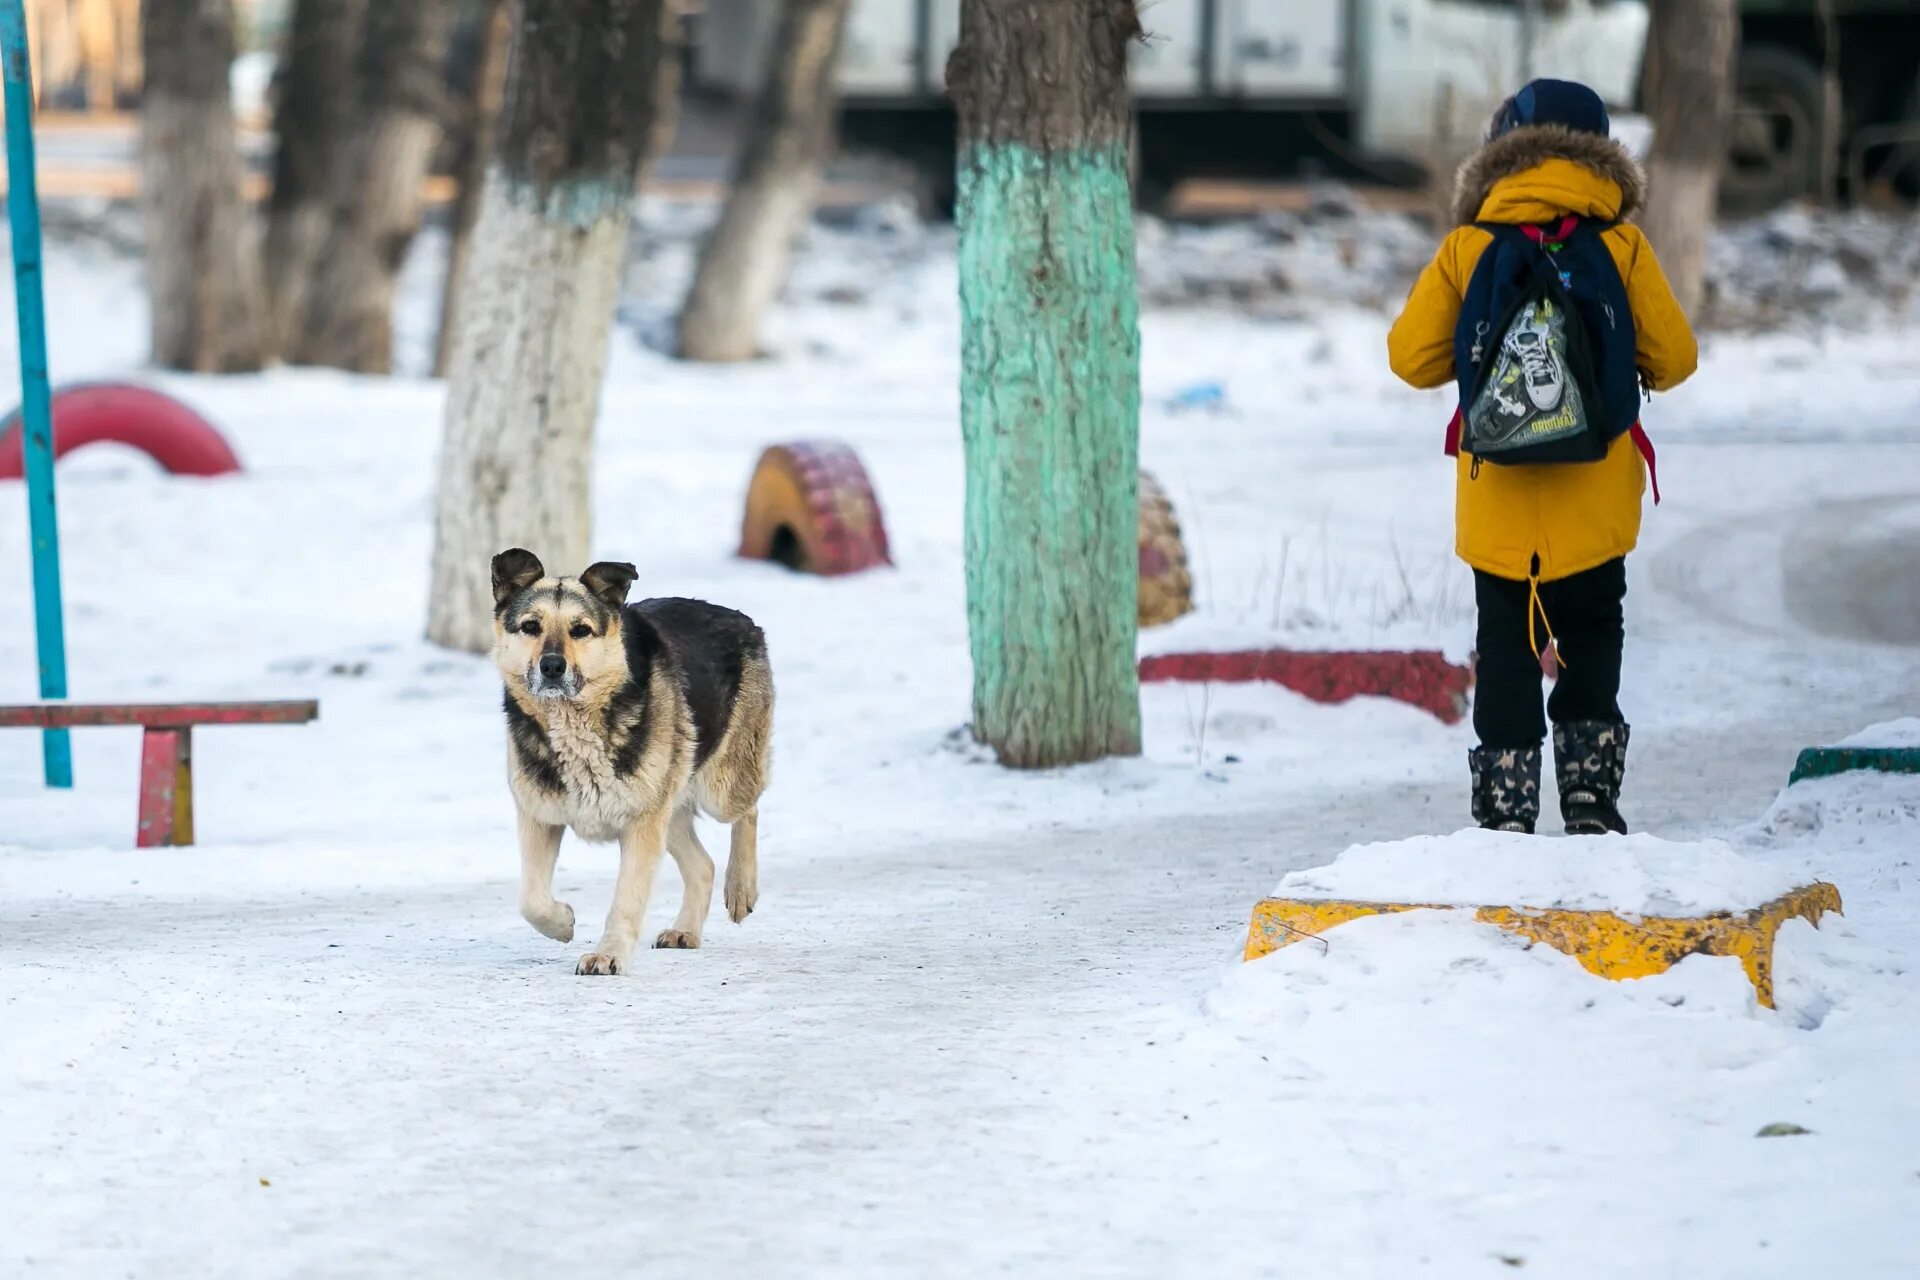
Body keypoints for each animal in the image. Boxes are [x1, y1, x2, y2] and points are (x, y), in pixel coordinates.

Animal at [487, 545, 771, 974]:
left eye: (581, 630)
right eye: (531, 626)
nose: (552, 666)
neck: (575, 726)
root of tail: (740, 618)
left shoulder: (640, 826)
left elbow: (626, 900)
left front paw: (608, 955)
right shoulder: (540, 816)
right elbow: (531, 900)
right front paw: (562, 922)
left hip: (718, 790)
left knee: (749, 810)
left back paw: (741, 888)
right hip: (668, 808)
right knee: (703, 866)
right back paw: (685, 930)